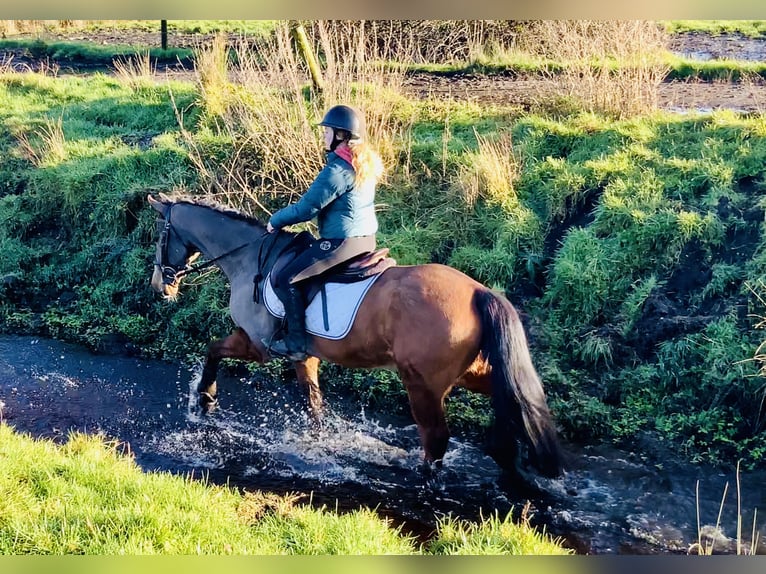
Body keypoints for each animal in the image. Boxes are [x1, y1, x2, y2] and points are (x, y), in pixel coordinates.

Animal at [147, 193, 564, 480]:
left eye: (159, 238)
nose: (159, 288)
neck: (249, 258)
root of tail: (479, 291)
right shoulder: (305, 357)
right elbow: (314, 406)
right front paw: (318, 445)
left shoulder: (257, 345)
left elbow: (212, 349)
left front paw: (205, 399)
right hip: (472, 373)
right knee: (514, 402)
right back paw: (513, 461)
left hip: (422, 383)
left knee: (436, 438)